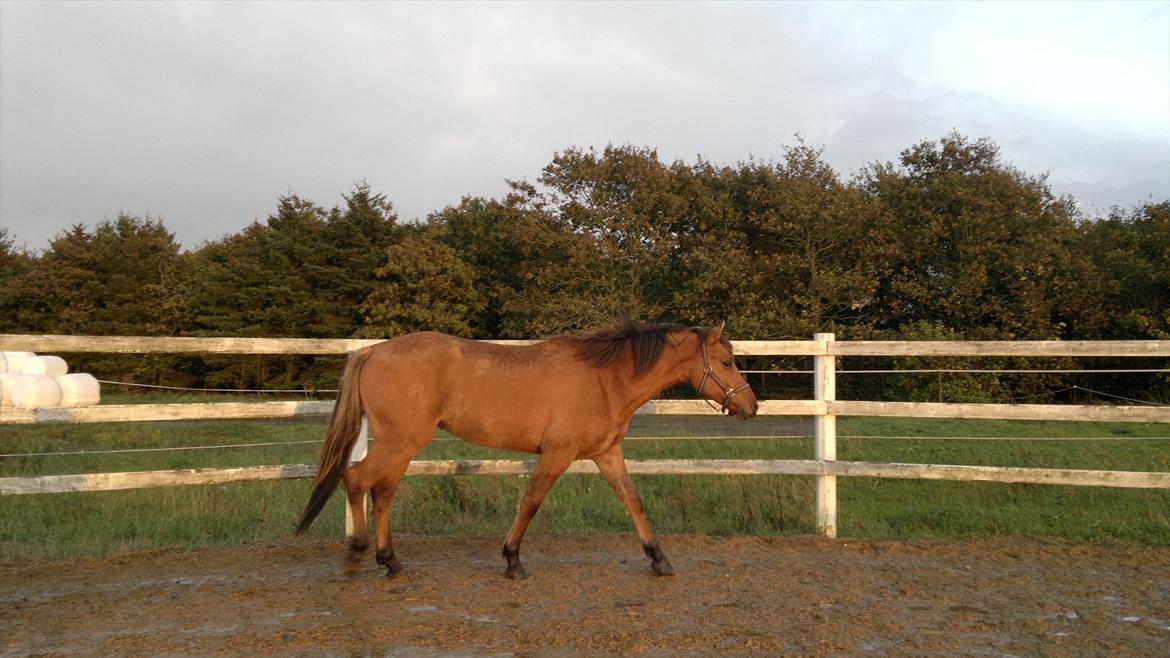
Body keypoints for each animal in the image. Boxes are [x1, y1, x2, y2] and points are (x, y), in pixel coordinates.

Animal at [296, 314, 758, 579]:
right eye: (727, 361)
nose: (751, 405)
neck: (604, 379)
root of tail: (371, 353)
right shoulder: (557, 455)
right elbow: (530, 504)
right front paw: (512, 560)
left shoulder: (607, 454)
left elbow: (633, 501)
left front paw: (658, 558)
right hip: (401, 440)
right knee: (357, 479)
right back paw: (357, 555)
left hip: (402, 444)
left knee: (383, 491)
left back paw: (390, 561)